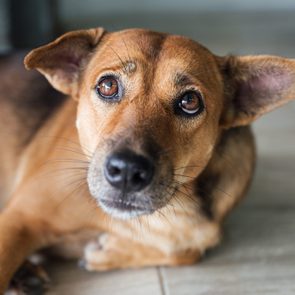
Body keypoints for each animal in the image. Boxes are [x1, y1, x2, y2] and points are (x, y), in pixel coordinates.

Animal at [0, 28, 294, 294]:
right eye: (108, 86)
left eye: (190, 101)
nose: (127, 171)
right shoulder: (19, 218)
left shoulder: (198, 234)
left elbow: (186, 252)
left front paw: (109, 250)